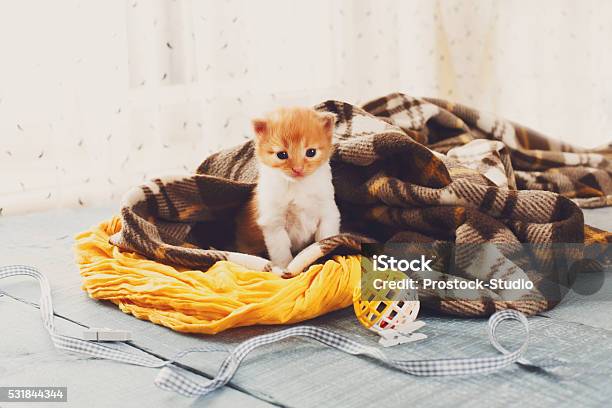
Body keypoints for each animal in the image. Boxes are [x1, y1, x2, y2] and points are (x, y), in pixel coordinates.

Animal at [233, 107, 340, 272]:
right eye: (281, 154)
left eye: (311, 152)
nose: (298, 169)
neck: (298, 186)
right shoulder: (273, 224)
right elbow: (281, 252)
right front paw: (285, 270)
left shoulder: (328, 212)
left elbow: (324, 238)